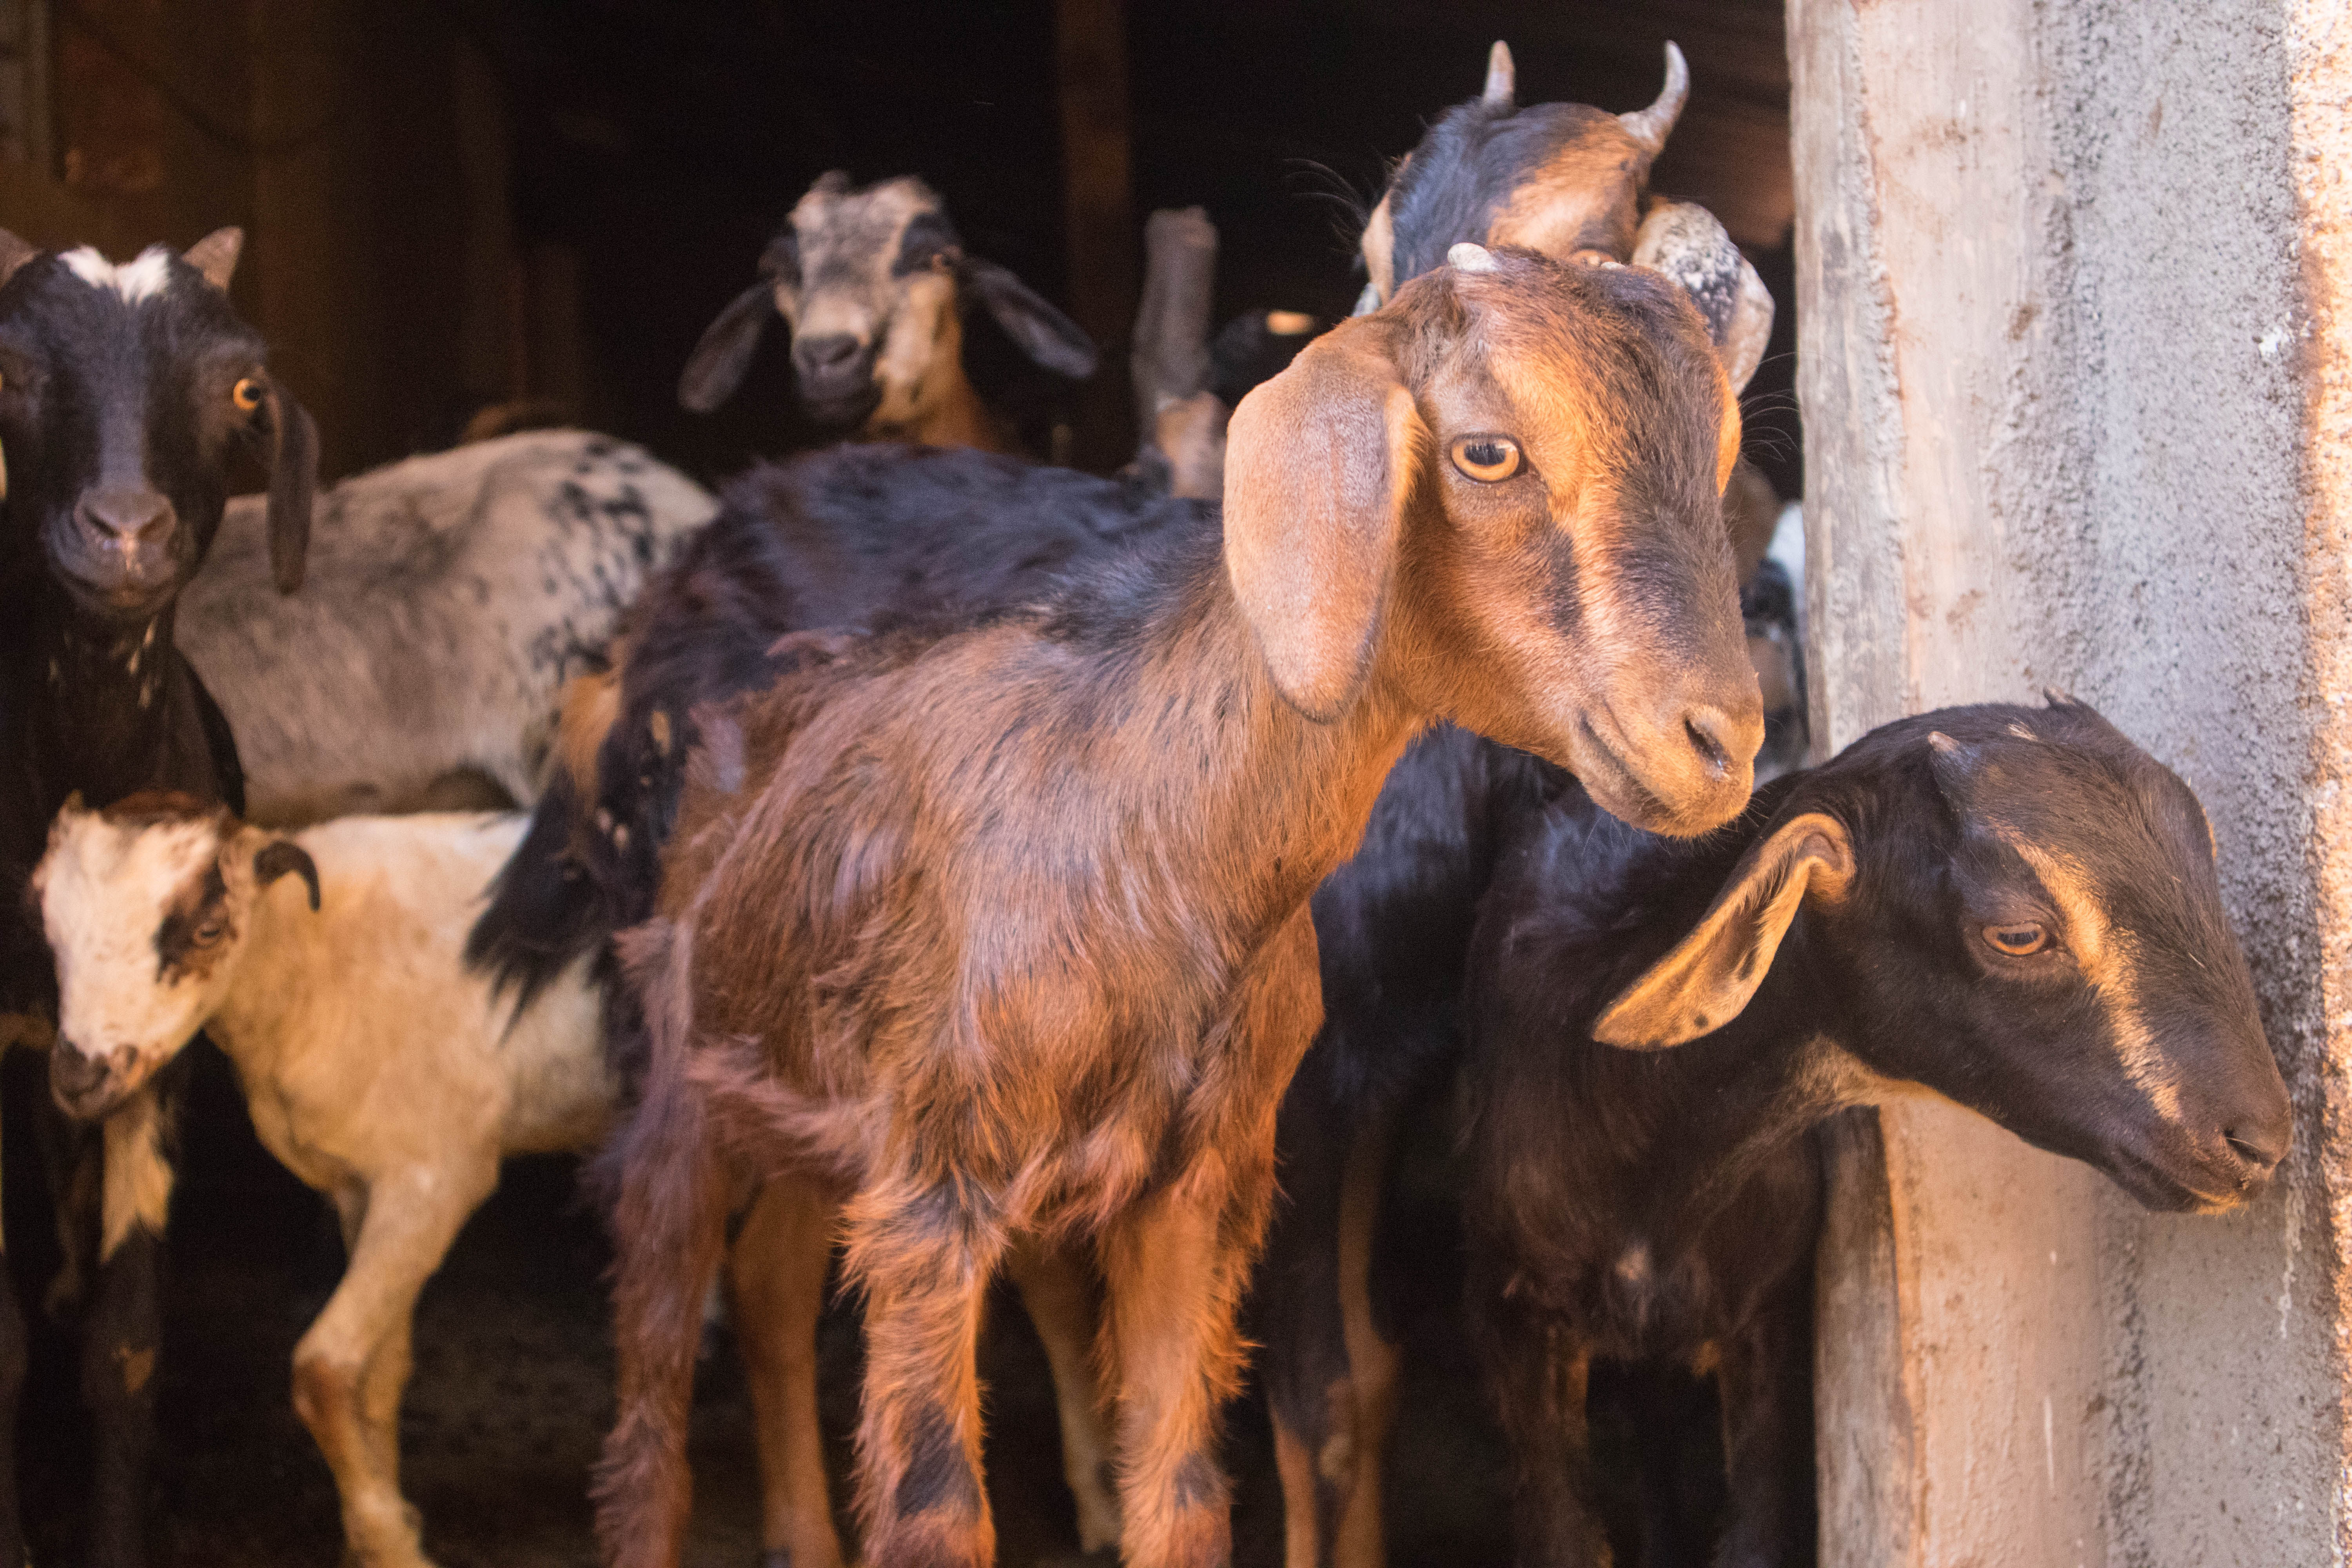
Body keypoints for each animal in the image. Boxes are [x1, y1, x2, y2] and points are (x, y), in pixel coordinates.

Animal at [32, 794, 613, 1568]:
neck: (312, 958)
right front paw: (378, 1528)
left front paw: (391, 1538)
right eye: (48, 924)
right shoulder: (358, 1185)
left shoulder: (435, 1178)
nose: (79, 1076)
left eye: (209, 929)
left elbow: (324, 1369)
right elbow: (379, 1377)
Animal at [587, 241, 1763, 1568]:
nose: (1718, 741)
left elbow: (1185, 1484)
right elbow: (938, 1508)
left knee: (774, 1281)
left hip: (810, 1104)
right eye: (1486, 451)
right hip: (679, 1081)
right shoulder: (937, 1186)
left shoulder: (1192, 1184)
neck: (1146, 836)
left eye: (1720, 453)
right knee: (651, 1403)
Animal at [1443, 699, 2291, 1565]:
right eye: (2020, 934)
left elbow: (1757, 1529)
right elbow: (1564, 1535)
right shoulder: (1511, 1315)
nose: (2259, 1140)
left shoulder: (1770, 1311)